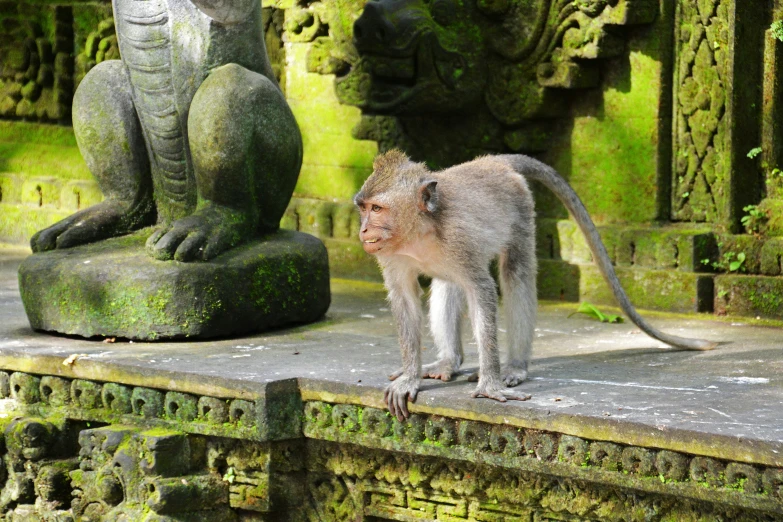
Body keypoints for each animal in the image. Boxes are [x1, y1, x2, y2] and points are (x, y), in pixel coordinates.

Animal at [356, 149, 716, 418]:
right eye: (363, 208)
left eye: (377, 208)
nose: (362, 230)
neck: (420, 231)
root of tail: (494, 161)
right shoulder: (391, 256)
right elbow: (404, 299)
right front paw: (409, 377)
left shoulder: (459, 238)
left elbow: (483, 291)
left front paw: (490, 384)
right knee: (448, 285)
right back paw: (449, 361)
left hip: (520, 208)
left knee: (516, 275)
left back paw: (514, 367)